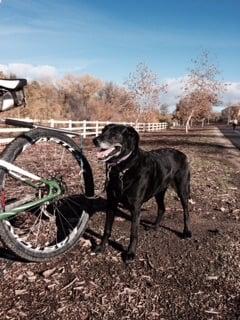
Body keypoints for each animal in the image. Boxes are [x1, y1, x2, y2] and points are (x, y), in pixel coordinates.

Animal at [92, 124, 191, 262]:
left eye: (114, 134)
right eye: (102, 131)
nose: (95, 140)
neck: (122, 169)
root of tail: (182, 154)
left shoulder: (135, 207)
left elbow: (133, 233)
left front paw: (130, 253)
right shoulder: (111, 203)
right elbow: (107, 228)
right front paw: (101, 247)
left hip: (182, 189)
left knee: (186, 211)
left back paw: (186, 232)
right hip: (159, 190)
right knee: (162, 208)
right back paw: (155, 227)